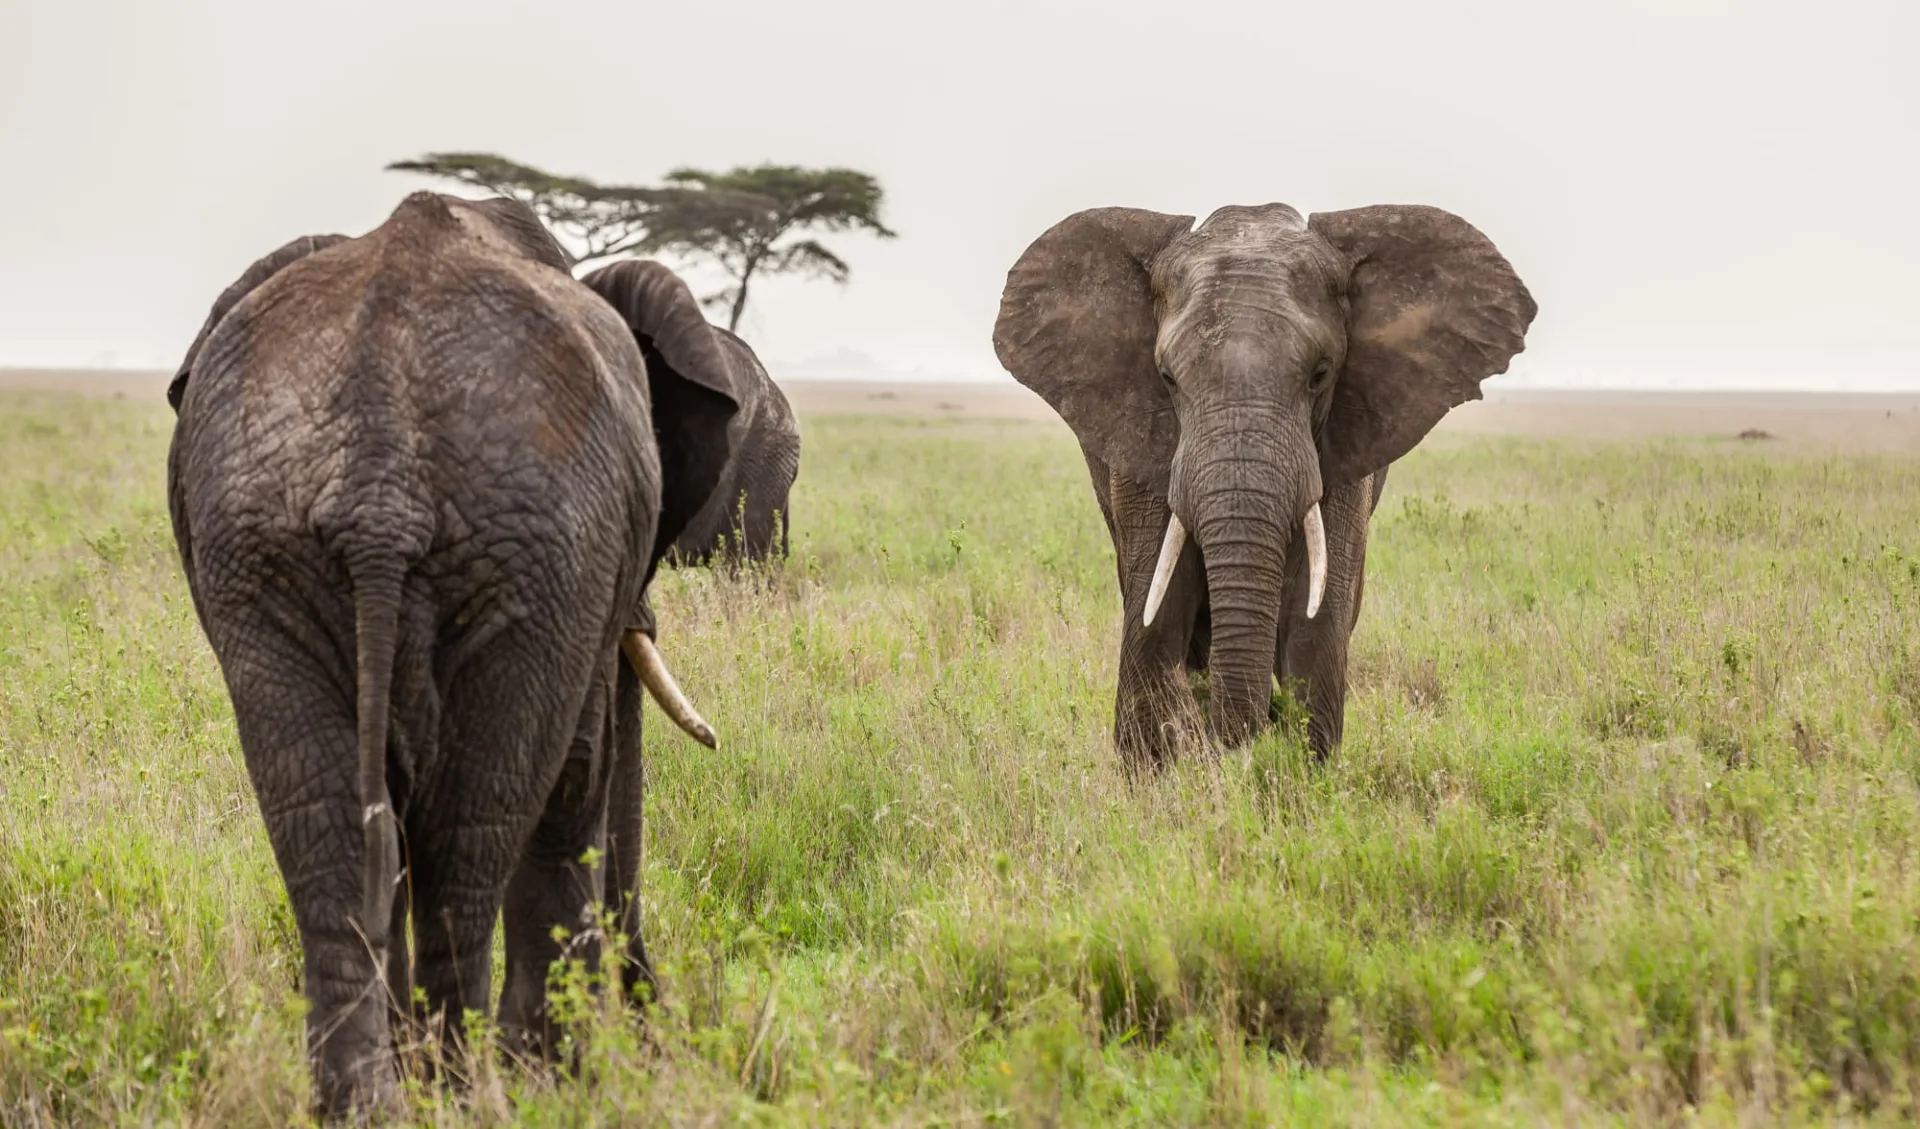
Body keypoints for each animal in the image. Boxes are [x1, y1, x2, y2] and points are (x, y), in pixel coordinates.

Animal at [165, 190, 741, 1113]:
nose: (659, 1029)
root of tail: (378, 483)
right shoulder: (579, 588)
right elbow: (578, 777)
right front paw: (563, 1082)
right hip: (535, 551)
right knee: (472, 835)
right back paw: (468, 1092)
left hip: (257, 546)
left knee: (329, 831)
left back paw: (368, 1105)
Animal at [998, 200, 1536, 768]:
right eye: (1167, 379)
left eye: (1320, 375)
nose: (1244, 740)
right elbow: (1157, 607)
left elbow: (1316, 615)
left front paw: (1298, 778)